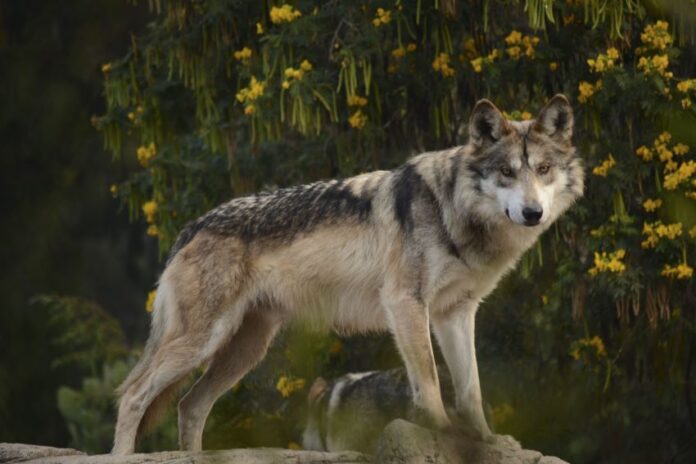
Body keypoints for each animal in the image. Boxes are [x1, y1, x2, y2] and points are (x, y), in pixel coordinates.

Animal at [112, 94, 583, 454]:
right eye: (506, 172)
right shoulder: (406, 303)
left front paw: (486, 441)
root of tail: (191, 228)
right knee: (133, 394)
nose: (532, 213)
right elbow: (430, 381)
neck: (453, 211)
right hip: (203, 341)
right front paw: (442, 433)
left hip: (243, 350)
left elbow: (471, 390)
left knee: (189, 406)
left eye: (542, 170)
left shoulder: (456, 313)